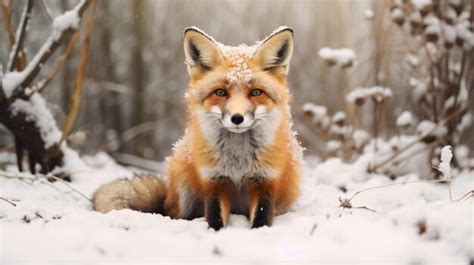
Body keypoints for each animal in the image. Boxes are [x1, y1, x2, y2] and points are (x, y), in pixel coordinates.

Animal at [93, 26, 304, 229]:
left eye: (256, 92)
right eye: (221, 92)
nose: (237, 118)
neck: (237, 162)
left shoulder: (265, 181)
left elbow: (261, 218)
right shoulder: (214, 181)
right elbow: (215, 218)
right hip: (183, 187)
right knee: (173, 213)